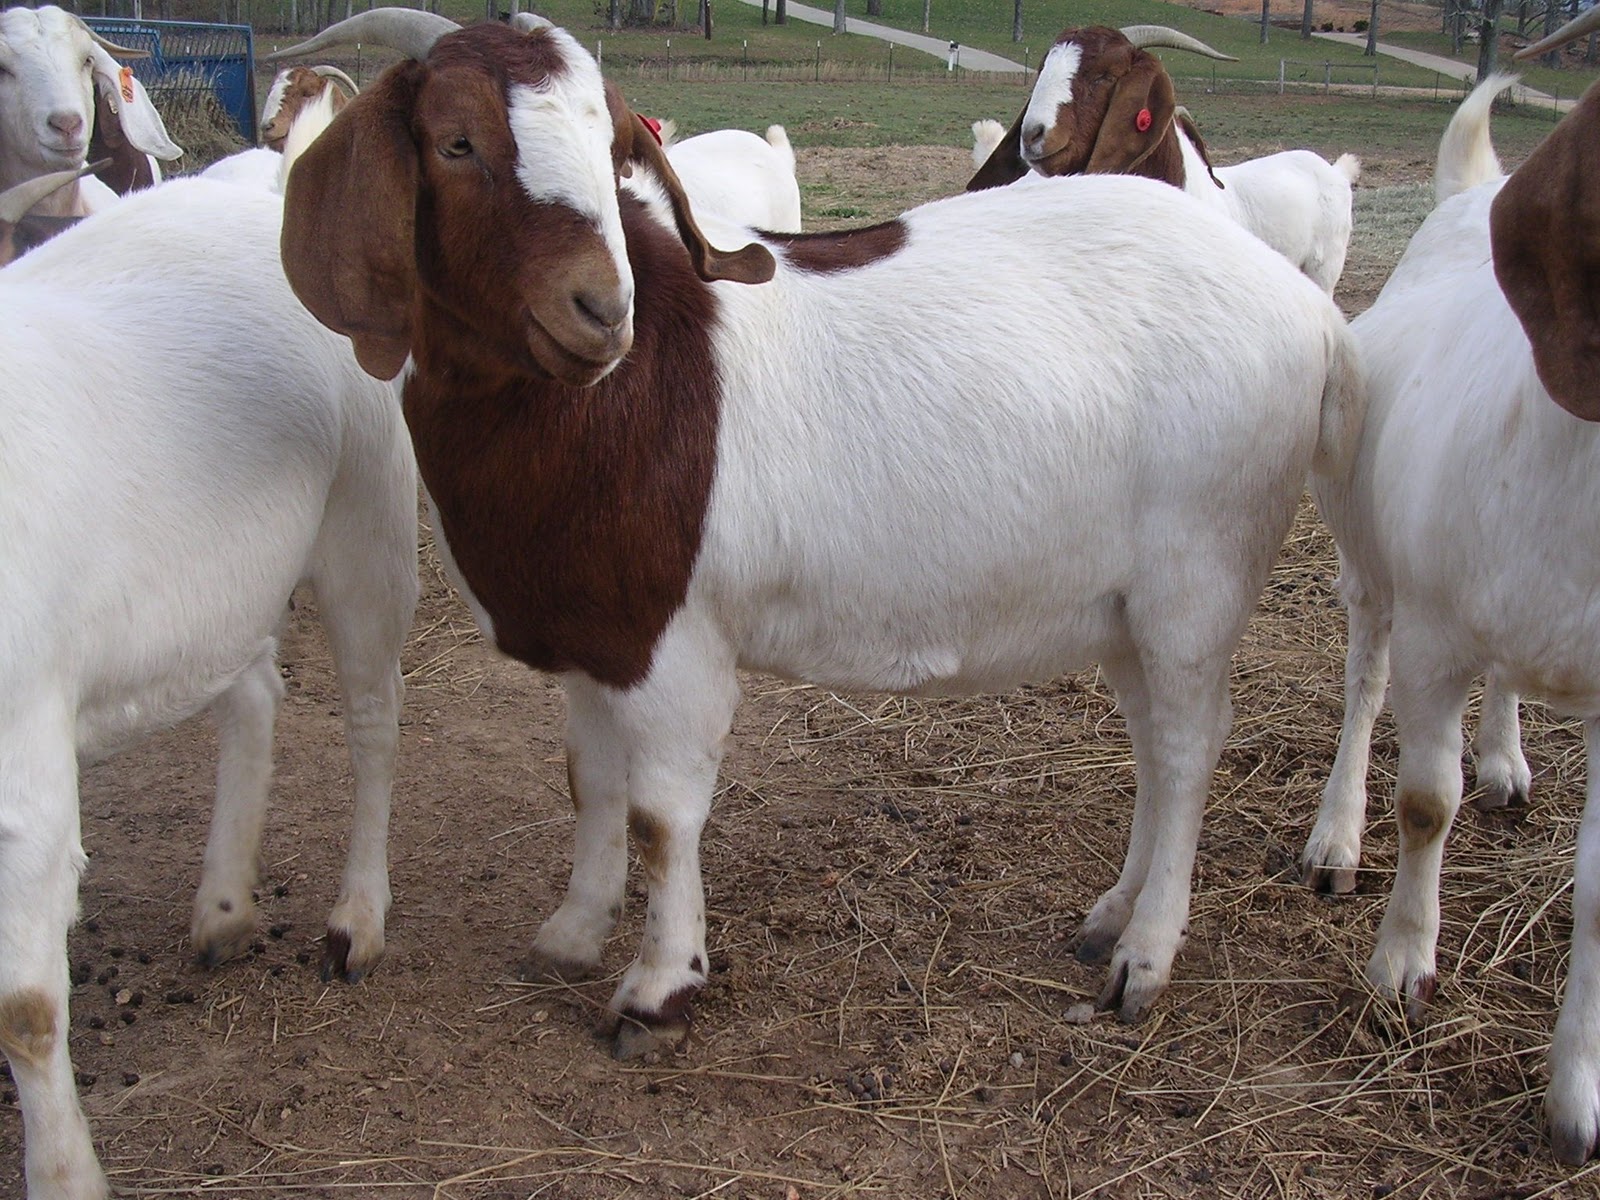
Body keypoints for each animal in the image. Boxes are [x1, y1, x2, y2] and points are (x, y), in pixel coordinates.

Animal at [0, 173, 419, 1196]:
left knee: (373, 721)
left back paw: (356, 919)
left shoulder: (24, 755)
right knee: (254, 690)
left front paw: (65, 1175)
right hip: (218, 587)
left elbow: (26, 1009)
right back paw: (226, 906)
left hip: (366, 518)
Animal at [272, 7, 1363, 1062]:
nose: (598, 308)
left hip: (1199, 575)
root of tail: (1310, 311)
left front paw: (657, 990)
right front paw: (573, 933)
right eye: (456, 141)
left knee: (1185, 748)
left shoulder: (677, 645)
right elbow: (590, 781)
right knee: (1157, 745)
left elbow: (661, 815)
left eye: (605, 148)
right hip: (1126, 603)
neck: (620, 393)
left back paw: (1144, 960)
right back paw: (1108, 919)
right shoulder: (599, 629)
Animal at [1305, 14, 1600, 1158]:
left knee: (1509, 677)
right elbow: (1426, 802)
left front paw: (1576, 1096)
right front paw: (1399, 968)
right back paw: (1336, 836)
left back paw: (1508, 758)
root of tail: (1478, 190)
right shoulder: (1434, 634)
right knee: (1364, 684)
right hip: (1372, 564)